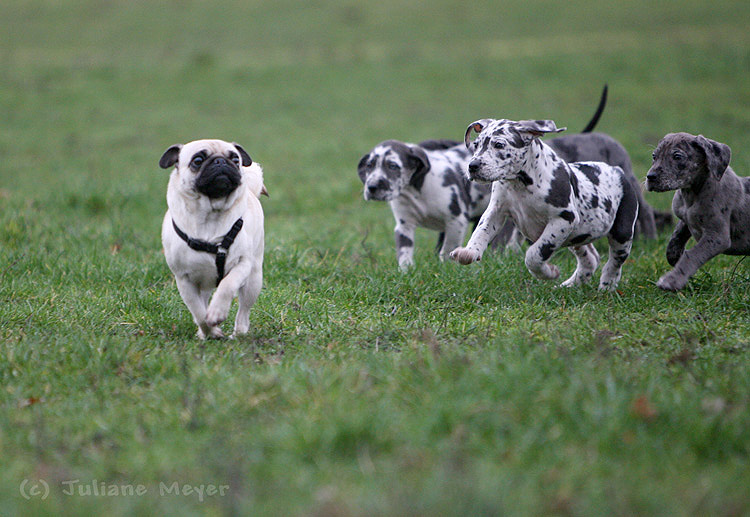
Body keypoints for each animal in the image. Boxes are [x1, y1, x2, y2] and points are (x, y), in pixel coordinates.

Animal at [360, 139, 494, 268]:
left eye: (392, 166)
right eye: (369, 165)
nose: (372, 187)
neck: (416, 191)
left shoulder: (457, 221)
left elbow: (448, 249)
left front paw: (448, 267)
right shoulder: (404, 226)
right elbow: (404, 253)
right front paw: (405, 271)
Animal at [452, 120, 640, 290]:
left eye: (499, 145)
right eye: (476, 145)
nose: (472, 166)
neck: (520, 185)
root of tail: (617, 170)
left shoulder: (563, 220)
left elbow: (534, 254)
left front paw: (548, 272)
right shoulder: (496, 211)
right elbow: (481, 232)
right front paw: (470, 251)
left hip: (621, 232)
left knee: (615, 262)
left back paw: (607, 286)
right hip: (577, 236)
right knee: (591, 259)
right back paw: (570, 285)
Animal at [644, 132, 748, 290]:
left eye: (677, 156)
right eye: (654, 156)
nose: (650, 177)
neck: (692, 194)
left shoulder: (717, 237)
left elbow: (693, 255)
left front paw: (673, 279)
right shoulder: (684, 220)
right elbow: (674, 241)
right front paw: (676, 257)